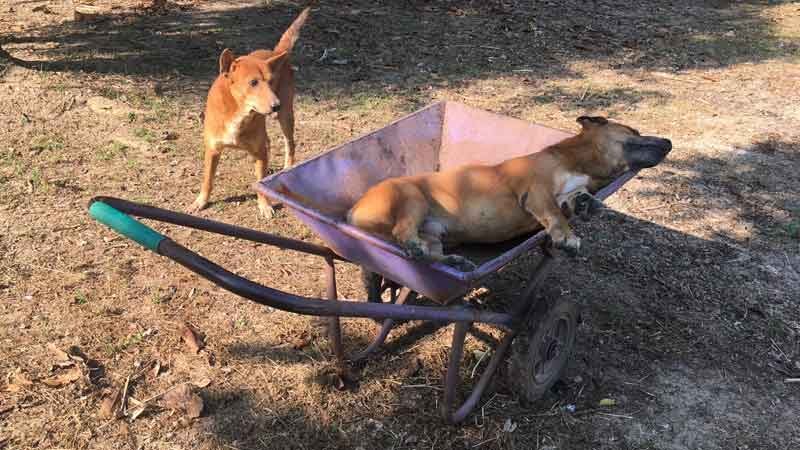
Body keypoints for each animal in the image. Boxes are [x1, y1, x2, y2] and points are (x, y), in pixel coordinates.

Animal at [189, 6, 310, 218]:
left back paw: (287, 168)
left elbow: (259, 181)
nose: (275, 105)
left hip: (286, 116)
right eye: (253, 82)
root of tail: (276, 52)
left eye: (271, 81)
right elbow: (207, 180)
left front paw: (265, 205)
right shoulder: (212, 150)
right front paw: (201, 201)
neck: (238, 113)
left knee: (290, 143)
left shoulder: (259, 150)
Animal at [346, 116, 672, 270]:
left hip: (433, 233)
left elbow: (574, 200)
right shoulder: (537, 191)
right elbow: (555, 216)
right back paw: (417, 247)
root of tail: (352, 210)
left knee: (428, 253)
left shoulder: (568, 192)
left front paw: (586, 204)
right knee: (403, 233)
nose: (669, 141)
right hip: (411, 198)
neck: (574, 160)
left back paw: (454, 262)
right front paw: (567, 236)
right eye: (634, 131)